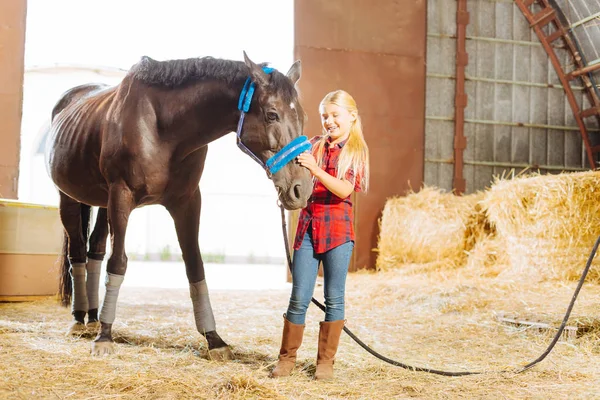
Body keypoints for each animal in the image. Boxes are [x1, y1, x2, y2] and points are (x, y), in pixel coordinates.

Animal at [47, 52, 312, 356]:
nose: (301, 189)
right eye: (272, 114)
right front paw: (105, 337)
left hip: (103, 204)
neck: (163, 128)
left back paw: (93, 317)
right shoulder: (121, 197)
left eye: (302, 116)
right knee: (78, 252)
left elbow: (195, 265)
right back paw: (80, 320)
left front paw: (214, 339)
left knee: (96, 250)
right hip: (70, 199)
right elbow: (118, 263)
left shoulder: (187, 201)